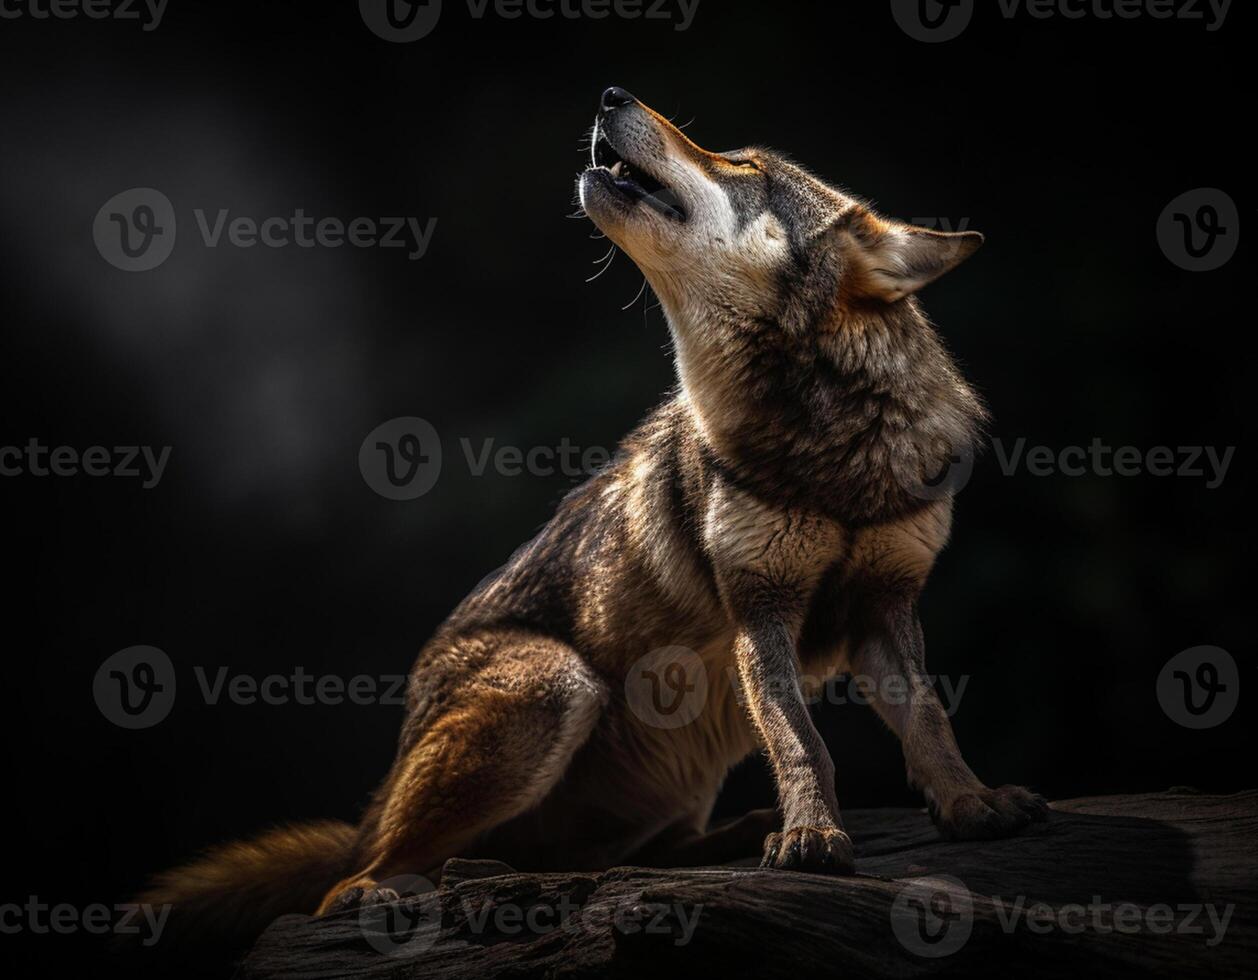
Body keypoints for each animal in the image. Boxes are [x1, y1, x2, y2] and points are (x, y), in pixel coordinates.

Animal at [137, 84, 1046, 956]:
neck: (826, 440)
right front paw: (813, 837)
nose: (611, 93)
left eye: (742, 164)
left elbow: (929, 721)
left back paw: (735, 834)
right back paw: (379, 895)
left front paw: (972, 804)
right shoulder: (762, 611)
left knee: (612, 857)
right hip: (553, 686)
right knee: (357, 877)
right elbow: (800, 739)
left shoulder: (886, 608)